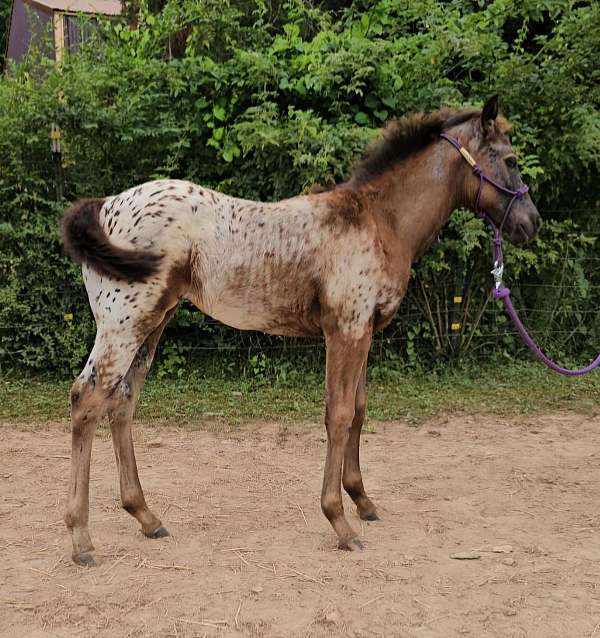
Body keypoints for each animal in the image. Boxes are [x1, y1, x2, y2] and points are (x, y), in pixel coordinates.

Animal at [62, 95, 544, 564]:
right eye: (511, 159)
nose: (532, 223)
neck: (377, 220)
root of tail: (106, 205)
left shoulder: (364, 332)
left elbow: (359, 410)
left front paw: (362, 502)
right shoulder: (345, 329)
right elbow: (339, 414)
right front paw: (340, 522)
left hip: (152, 324)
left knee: (122, 402)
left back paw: (146, 517)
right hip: (124, 323)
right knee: (87, 398)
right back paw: (81, 539)